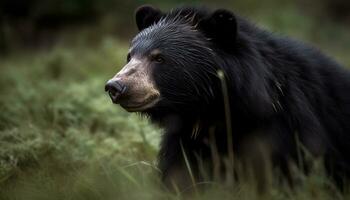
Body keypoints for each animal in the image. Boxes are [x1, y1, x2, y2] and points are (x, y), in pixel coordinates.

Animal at [105, 5, 350, 191]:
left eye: (159, 58)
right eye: (130, 56)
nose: (115, 86)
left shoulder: (288, 126)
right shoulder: (185, 140)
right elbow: (181, 174)